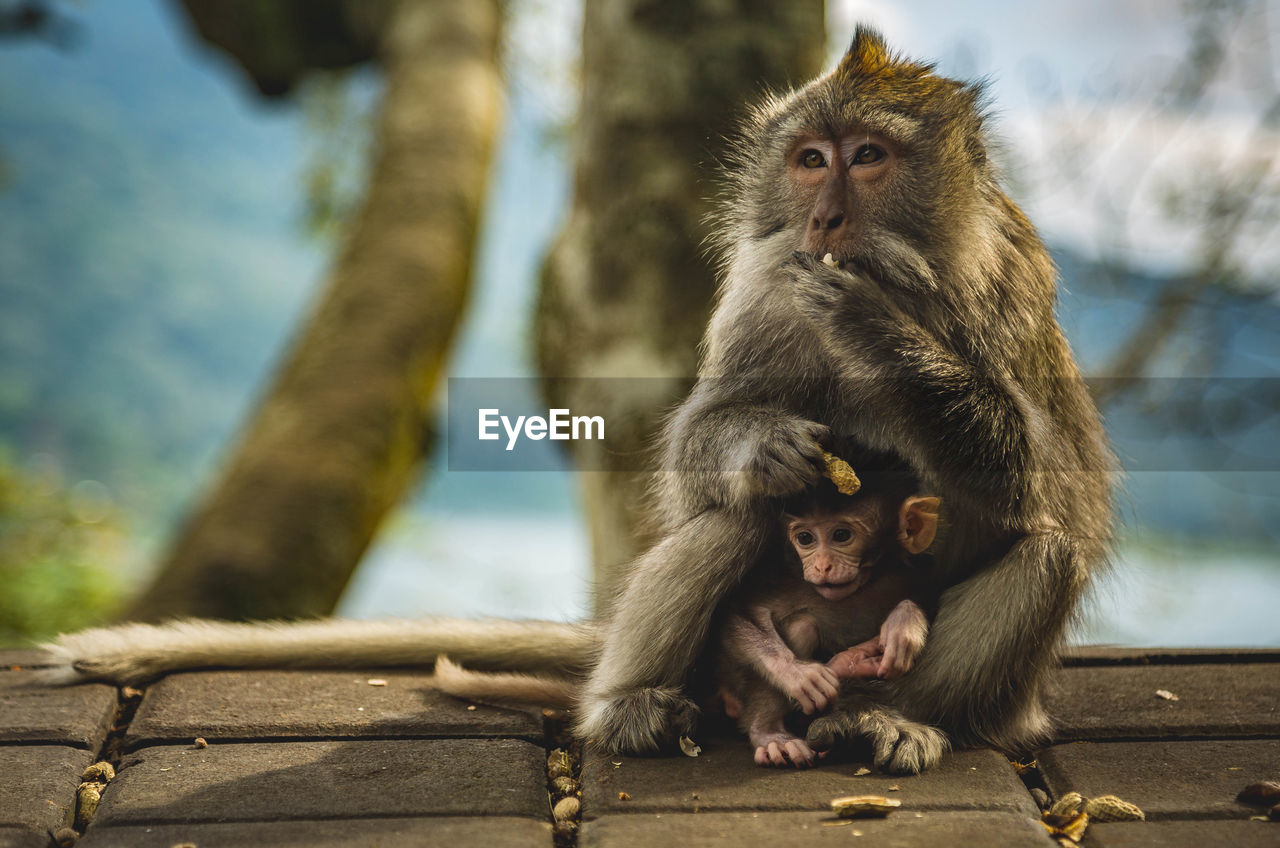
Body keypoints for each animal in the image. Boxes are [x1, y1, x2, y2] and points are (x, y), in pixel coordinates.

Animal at [721, 484, 942, 768]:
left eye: (841, 535)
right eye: (805, 538)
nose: (822, 565)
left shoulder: (913, 572)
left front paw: (903, 623)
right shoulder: (787, 577)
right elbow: (738, 614)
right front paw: (797, 673)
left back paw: (848, 663)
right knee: (801, 627)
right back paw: (769, 733)